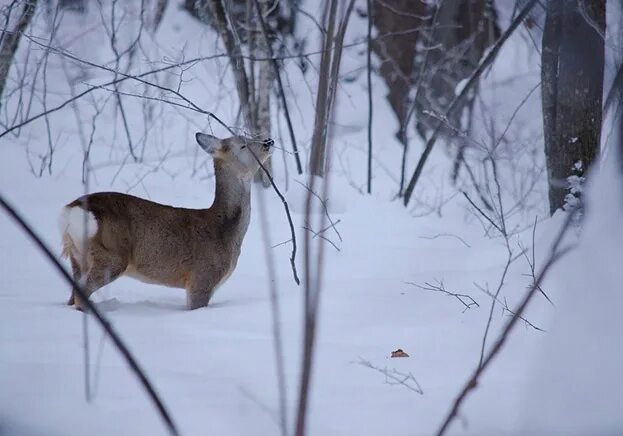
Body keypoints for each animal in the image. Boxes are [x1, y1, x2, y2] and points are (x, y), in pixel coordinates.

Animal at [58, 133, 272, 310]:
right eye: (243, 145)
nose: (268, 141)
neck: (224, 231)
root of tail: (71, 210)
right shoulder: (202, 276)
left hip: (78, 257)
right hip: (111, 254)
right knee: (81, 295)